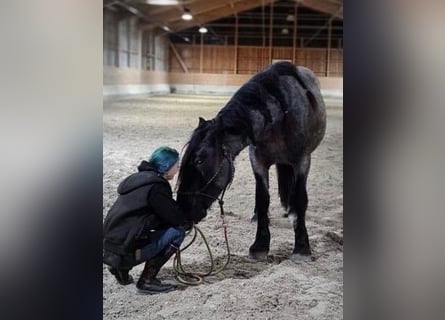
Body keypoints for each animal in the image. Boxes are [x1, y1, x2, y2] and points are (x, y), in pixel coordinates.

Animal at [177, 61, 326, 262]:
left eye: (200, 160)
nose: (182, 211)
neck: (281, 115)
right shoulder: (258, 162)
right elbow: (262, 199)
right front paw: (260, 245)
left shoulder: (302, 162)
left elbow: (300, 198)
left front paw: (302, 247)